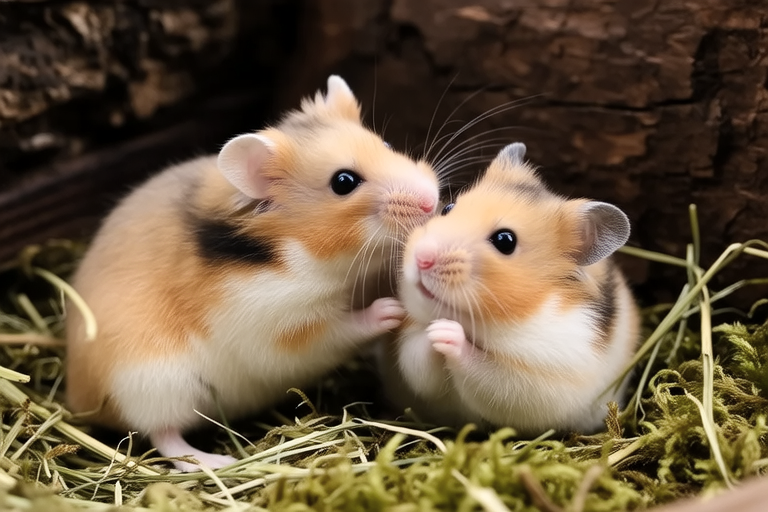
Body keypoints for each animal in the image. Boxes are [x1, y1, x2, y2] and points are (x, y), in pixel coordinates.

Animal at [65, 76, 440, 472]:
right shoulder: (281, 327)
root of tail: (77, 398)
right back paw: (214, 461)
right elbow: (343, 328)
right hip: (153, 386)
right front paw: (391, 310)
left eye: (386, 144)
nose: (432, 200)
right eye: (343, 182)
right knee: (164, 437)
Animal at [379, 142, 639, 436]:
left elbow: (488, 374)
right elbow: (419, 358)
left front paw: (446, 330)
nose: (422, 258)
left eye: (505, 241)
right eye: (447, 208)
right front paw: (432, 328)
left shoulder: (533, 379)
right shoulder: (409, 349)